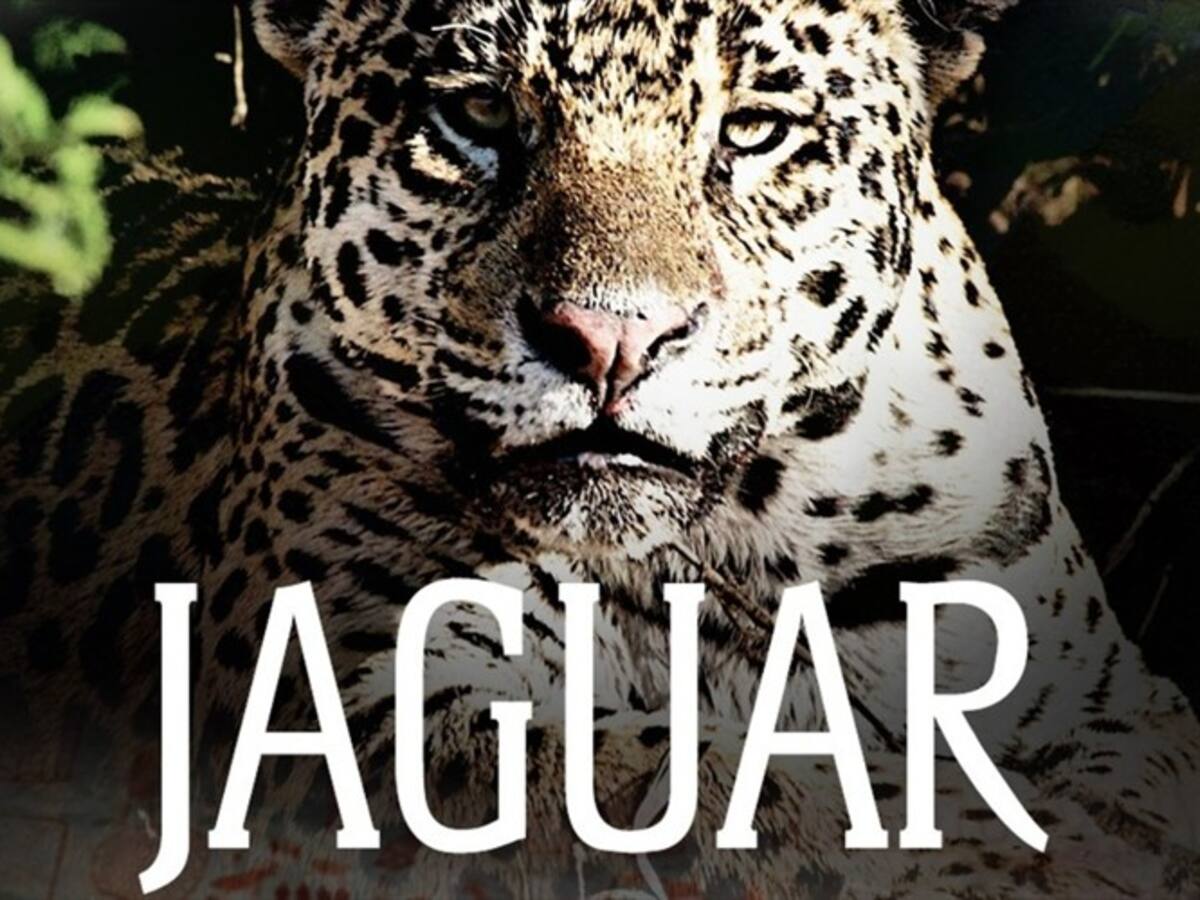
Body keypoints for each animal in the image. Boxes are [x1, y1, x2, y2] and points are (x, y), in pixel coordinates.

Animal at [2, 0, 1199, 896]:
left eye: (754, 130)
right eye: (480, 111)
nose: (609, 338)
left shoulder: (1095, 695)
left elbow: (1141, 784)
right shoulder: (340, 687)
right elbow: (631, 775)